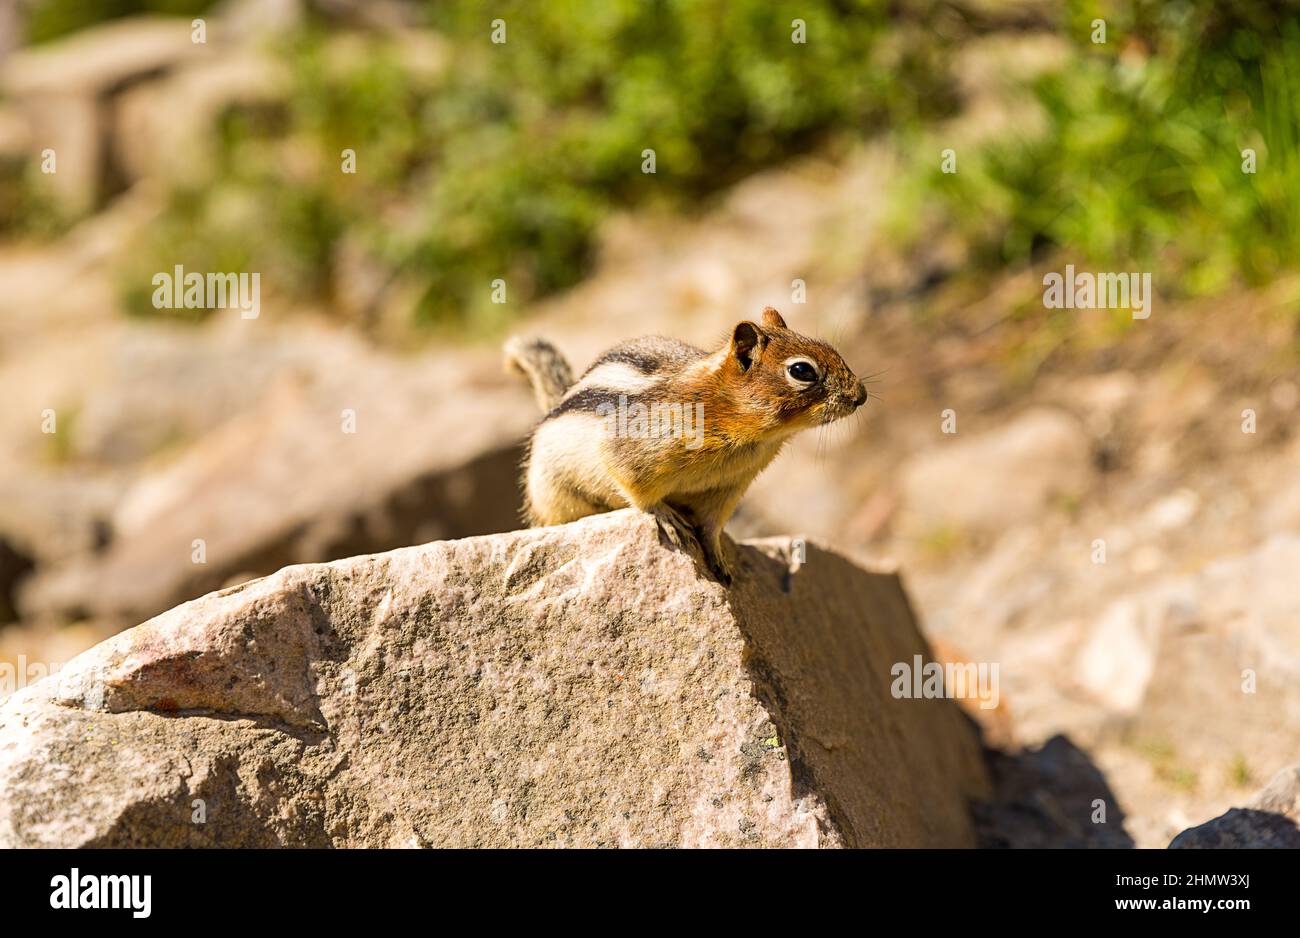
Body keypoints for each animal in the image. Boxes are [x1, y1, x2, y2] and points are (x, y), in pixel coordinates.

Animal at [503, 306, 868, 585]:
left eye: (831, 349)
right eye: (802, 370)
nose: (861, 396)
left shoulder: (728, 488)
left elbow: (711, 526)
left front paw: (718, 557)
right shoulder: (632, 451)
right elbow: (637, 491)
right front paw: (664, 515)